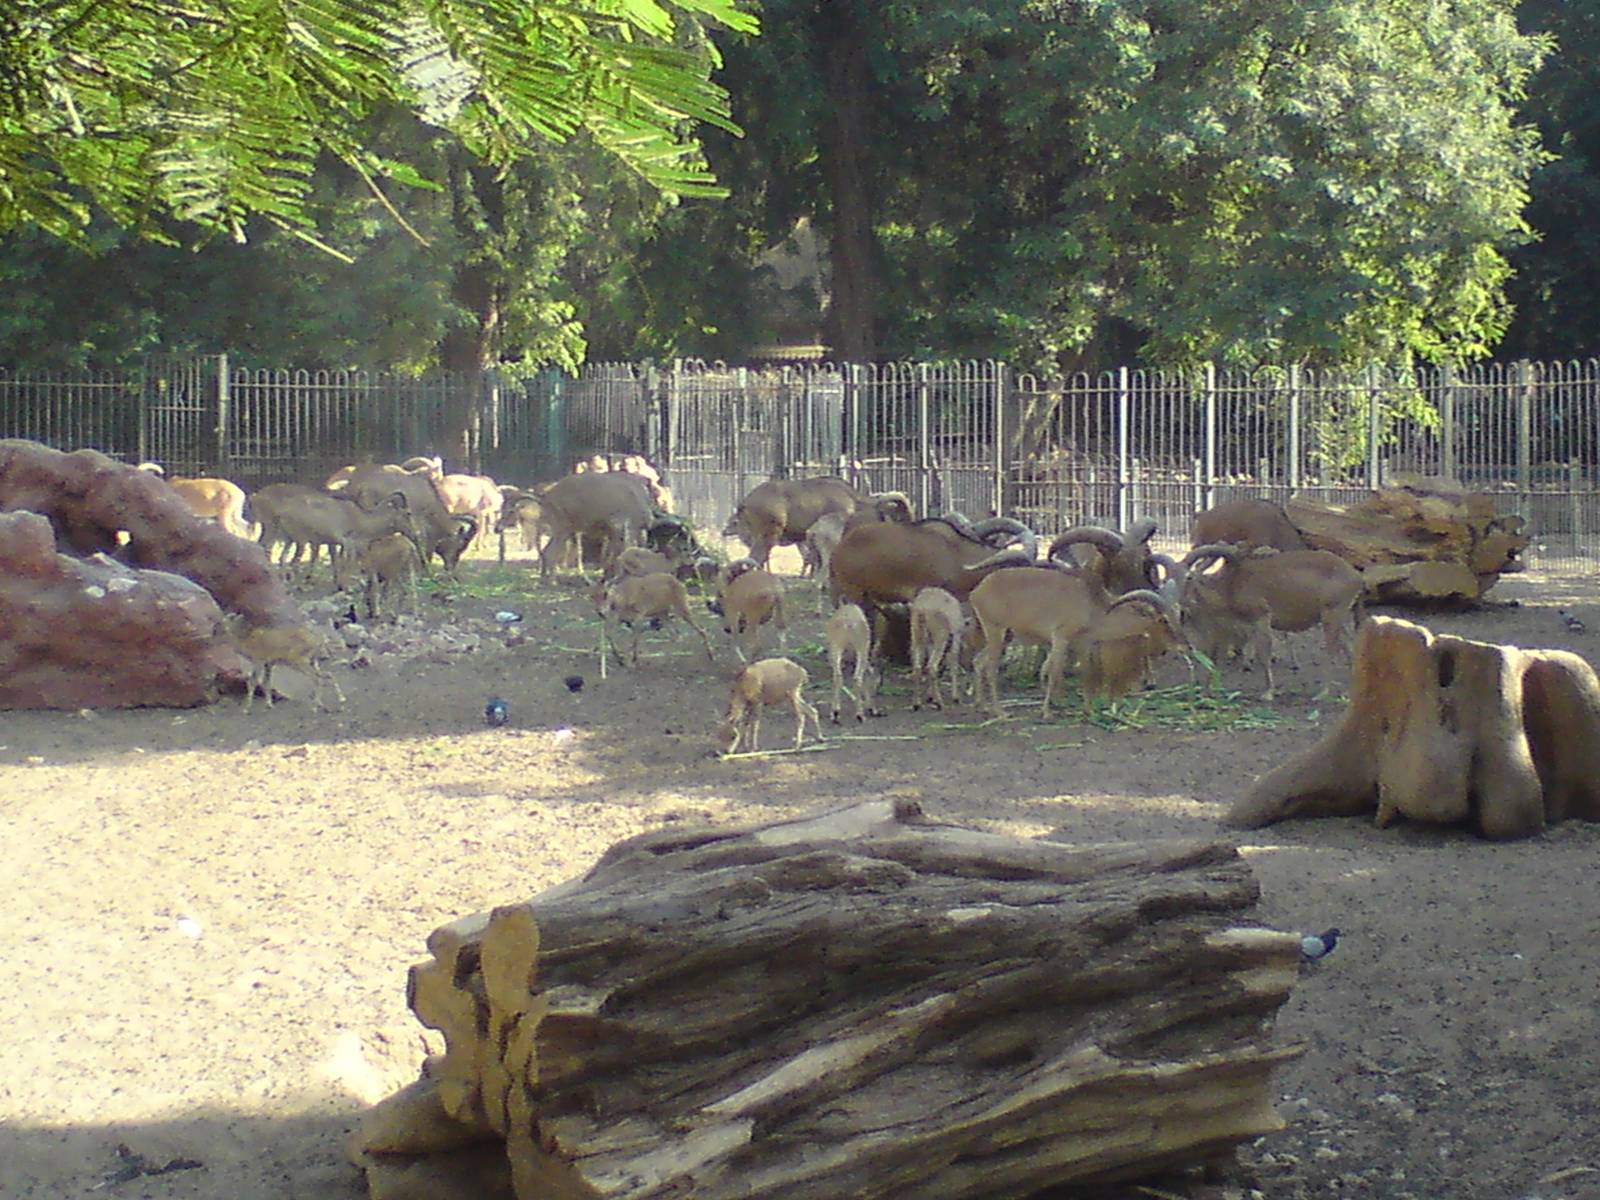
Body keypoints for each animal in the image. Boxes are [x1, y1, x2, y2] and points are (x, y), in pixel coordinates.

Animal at [1175, 543, 1364, 699]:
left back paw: (1323, 692)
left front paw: (1268, 692)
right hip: (1339, 618)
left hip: (1332, 615)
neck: (1231, 584)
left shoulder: (1261, 617)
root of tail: (1356, 576)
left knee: (1333, 651)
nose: (1182, 612)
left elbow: (1263, 653)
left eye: (1188, 580)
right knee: (1350, 647)